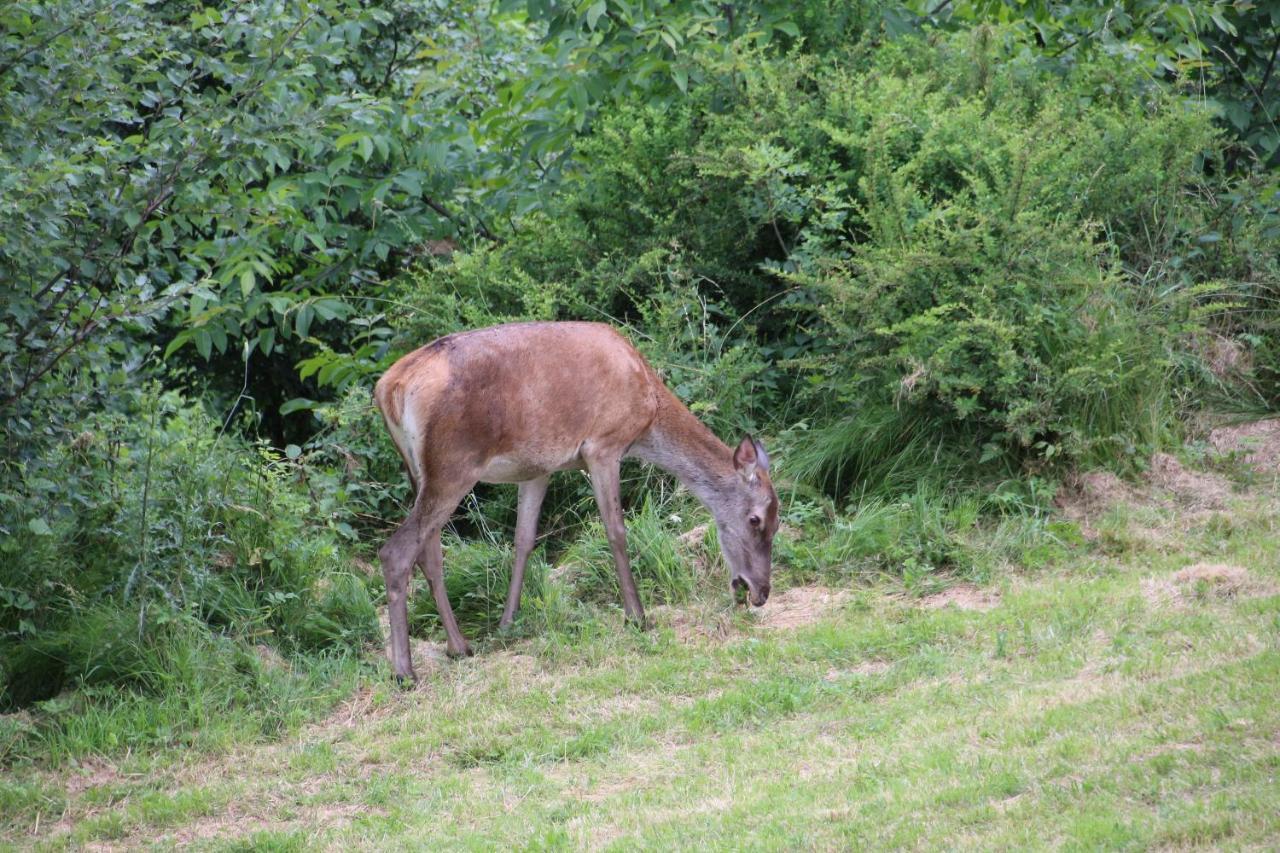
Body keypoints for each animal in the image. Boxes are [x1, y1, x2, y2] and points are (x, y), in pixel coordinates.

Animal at [366, 318, 773, 676]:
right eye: (756, 519)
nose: (761, 591)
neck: (648, 409)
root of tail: (389, 387)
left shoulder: (539, 467)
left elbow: (524, 540)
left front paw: (507, 621)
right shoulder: (604, 445)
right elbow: (616, 531)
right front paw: (637, 616)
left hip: (419, 472)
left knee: (429, 553)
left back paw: (459, 646)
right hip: (454, 464)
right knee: (396, 551)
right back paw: (404, 671)